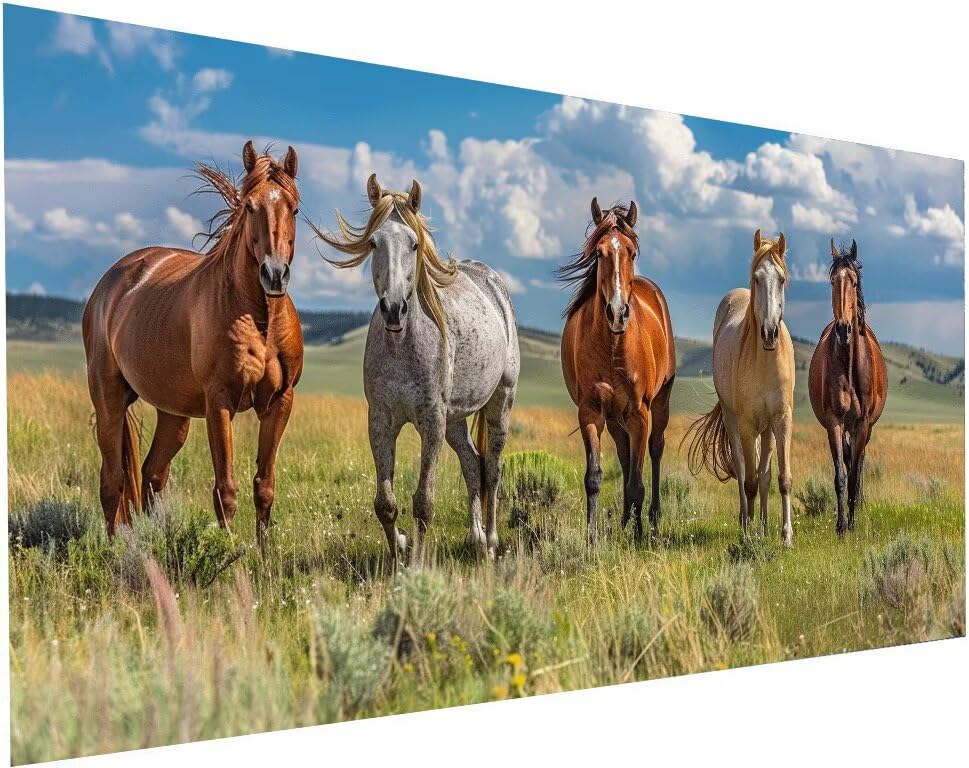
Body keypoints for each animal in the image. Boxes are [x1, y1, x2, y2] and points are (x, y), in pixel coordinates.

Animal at [82, 141, 303, 540]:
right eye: (249, 206)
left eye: (294, 208)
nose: (275, 274)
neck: (259, 319)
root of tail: (109, 284)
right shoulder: (220, 401)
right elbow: (225, 490)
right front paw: (229, 552)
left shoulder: (280, 401)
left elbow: (264, 486)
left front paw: (264, 553)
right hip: (108, 398)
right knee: (112, 481)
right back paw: (114, 546)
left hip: (173, 412)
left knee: (152, 475)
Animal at [316, 173, 520, 565]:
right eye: (374, 242)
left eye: (413, 244)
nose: (394, 308)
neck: (403, 346)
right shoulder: (381, 420)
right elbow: (385, 503)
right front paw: (400, 549)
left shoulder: (431, 421)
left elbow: (424, 501)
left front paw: (417, 564)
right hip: (456, 419)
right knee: (472, 465)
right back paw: (476, 537)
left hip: (499, 403)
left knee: (493, 469)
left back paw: (490, 543)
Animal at [558, 198, 676, 544]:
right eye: (599, 253)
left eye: (632, 252)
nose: (617, 313)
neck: (612, 346)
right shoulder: (591, 412)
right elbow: (595, 477)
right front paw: (591, 538)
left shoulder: (639, 413)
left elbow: (637, 481)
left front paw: (638, 537)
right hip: (614, 418)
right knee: (624, 457)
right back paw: (625, 520)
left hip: (659, 405)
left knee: (654, 451)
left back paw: (651, 521)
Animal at [685, 229, 795, 546]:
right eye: (757, 278)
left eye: (781, 279)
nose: (769, 332)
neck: (766, 360)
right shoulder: (747, 424)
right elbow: (749, 482)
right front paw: (750, 534)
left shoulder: (782, 420)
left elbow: (781, 478)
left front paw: (785, 535)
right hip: (733, 421)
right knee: (744, 470)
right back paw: (748, 521)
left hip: (767, 428)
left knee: (765, 474)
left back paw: (764, 523)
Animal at [808, 239, 888, 534]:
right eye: (833, 281)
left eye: (853, 281)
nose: (843, 330)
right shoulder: (834, 422)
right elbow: (841, 476)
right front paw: (841, 525)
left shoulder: (862, 423)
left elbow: (854, 476)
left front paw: (852, 522)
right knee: (848, 457)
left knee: (859, 461)